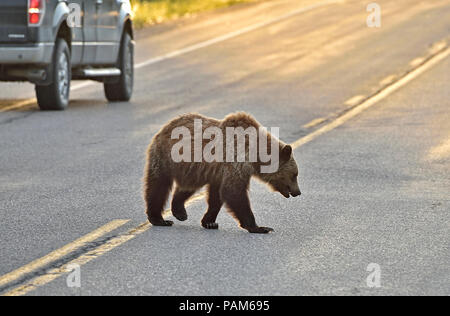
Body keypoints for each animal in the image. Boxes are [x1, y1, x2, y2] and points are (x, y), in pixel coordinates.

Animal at [142, 112, 300, 233]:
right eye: (295, 175)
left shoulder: (219, 172)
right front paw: (260, 227)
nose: (298, 192)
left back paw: (180, 212)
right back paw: (159, 219)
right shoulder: (236, 160)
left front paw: (209, 222)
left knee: (188, 186)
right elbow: (233, 191)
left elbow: (217, 196)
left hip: (193, 169)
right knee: (158, 185)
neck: (255, 155)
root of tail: (165, 126)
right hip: (165, 158)